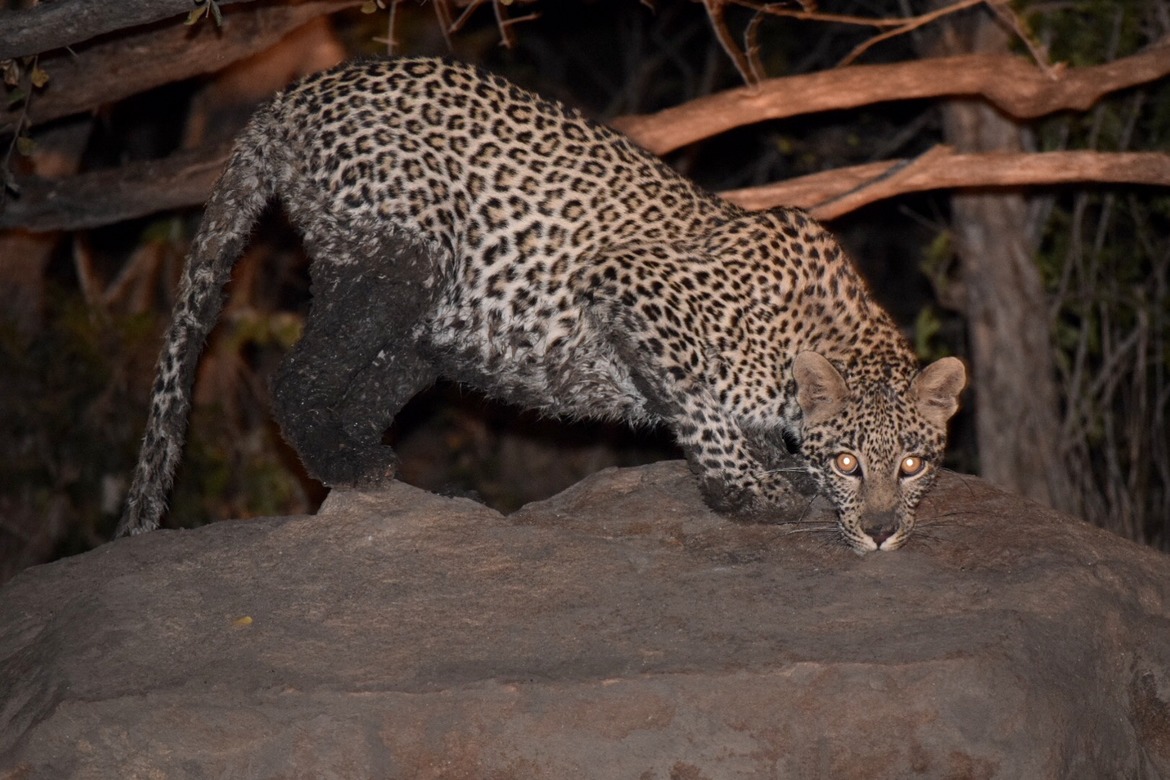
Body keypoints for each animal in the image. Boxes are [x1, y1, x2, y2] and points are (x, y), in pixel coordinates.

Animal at [117, 56, 967, 554]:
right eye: (851, 463)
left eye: (913, 464)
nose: (883, 533)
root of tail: (292, 94)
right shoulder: (634, 286)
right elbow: (700, 410)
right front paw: (750, 494)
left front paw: (771, 469)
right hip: (397, 260)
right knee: (297, 374)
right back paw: (345, 463)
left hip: (430, 318)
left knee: (378, 374)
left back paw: (376, 465)